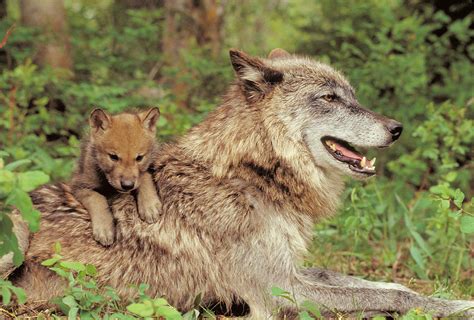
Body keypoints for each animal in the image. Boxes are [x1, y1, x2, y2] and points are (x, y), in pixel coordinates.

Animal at [69, 107, 160, 245]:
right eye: (113, 157)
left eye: (139, 158)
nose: (127, 185)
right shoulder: (79, 186)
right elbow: (97, 199)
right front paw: (104, 229)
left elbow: (144, 177)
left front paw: (149, 205)